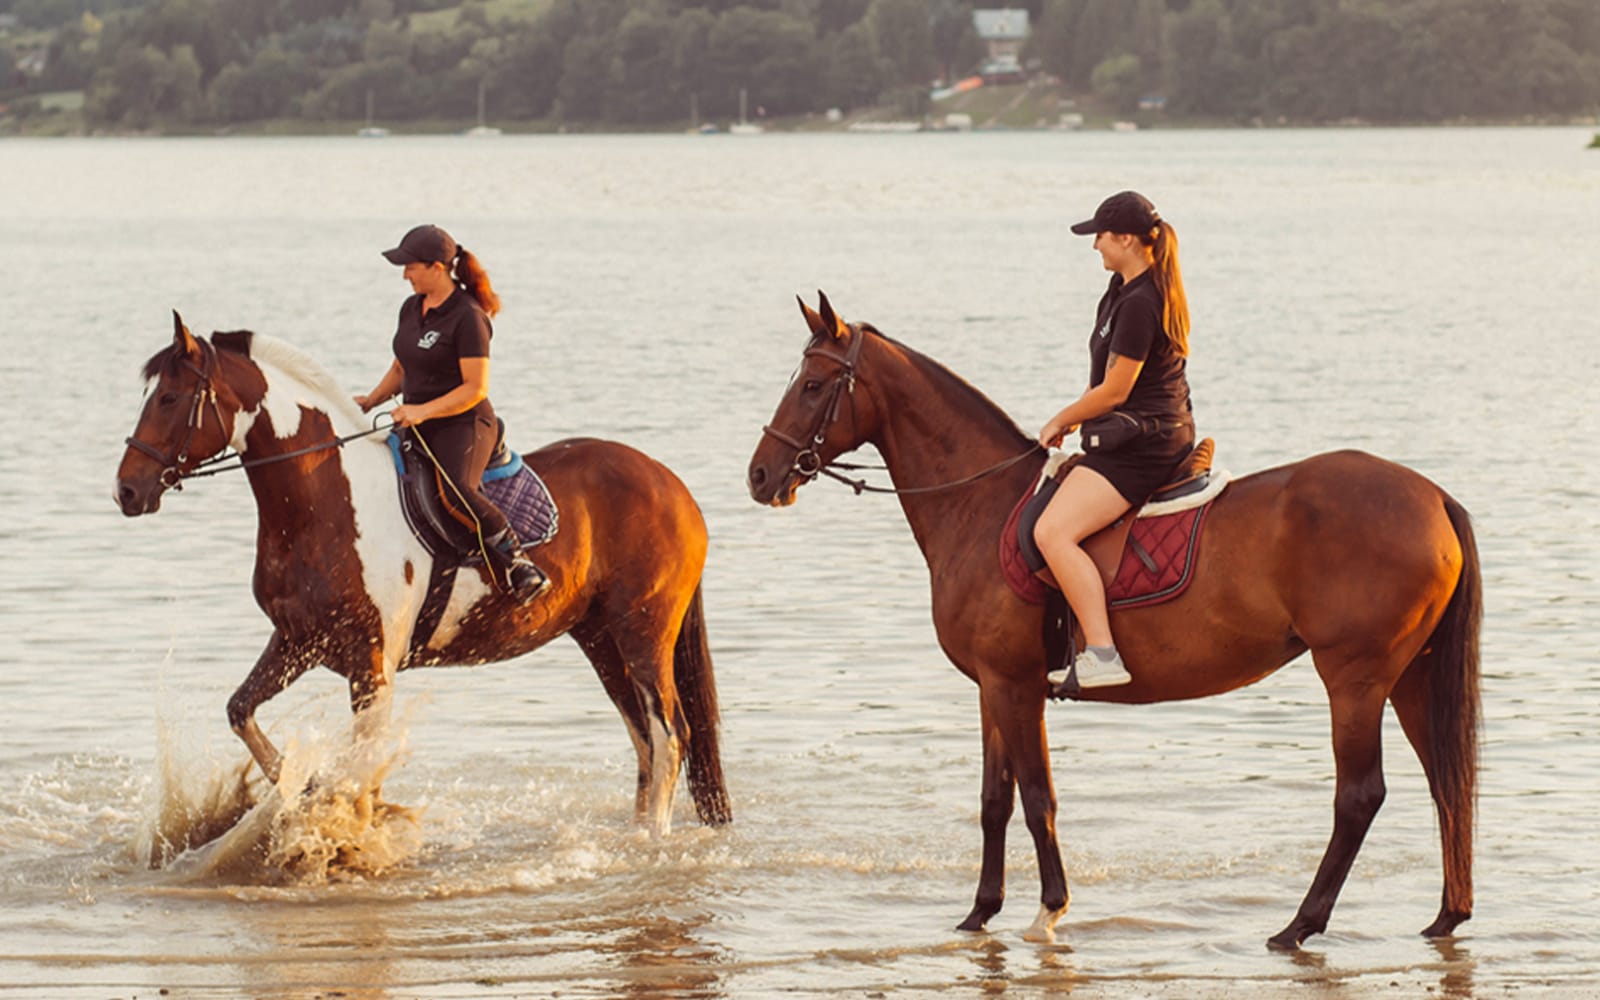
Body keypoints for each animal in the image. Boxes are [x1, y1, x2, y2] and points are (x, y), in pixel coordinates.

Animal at [115, 313, 731, 836]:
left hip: (643, 630)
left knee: (669, 733)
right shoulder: (297, 642)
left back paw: (651, 840)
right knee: (644, 736)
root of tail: (673, 486)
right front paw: (302, 788)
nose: (127, 491)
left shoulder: (371, 665)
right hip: (599, 636)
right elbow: (241, 711)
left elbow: (362, 770)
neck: (325, 500)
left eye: (169, 397)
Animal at [746, 293, 1479, 950]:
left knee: (1359, 796)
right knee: (1447, 782)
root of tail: (1431, 496)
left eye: (812, 386)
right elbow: (993, 801)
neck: (981, 503)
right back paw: (1446, 917)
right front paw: (979, 913)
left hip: (1354, 678)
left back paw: (1299, 925)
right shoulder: (991, 686)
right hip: (1409, 677)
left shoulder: (1014, 686)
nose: (759, 475)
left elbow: (1037, 798)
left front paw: (1050, 910)